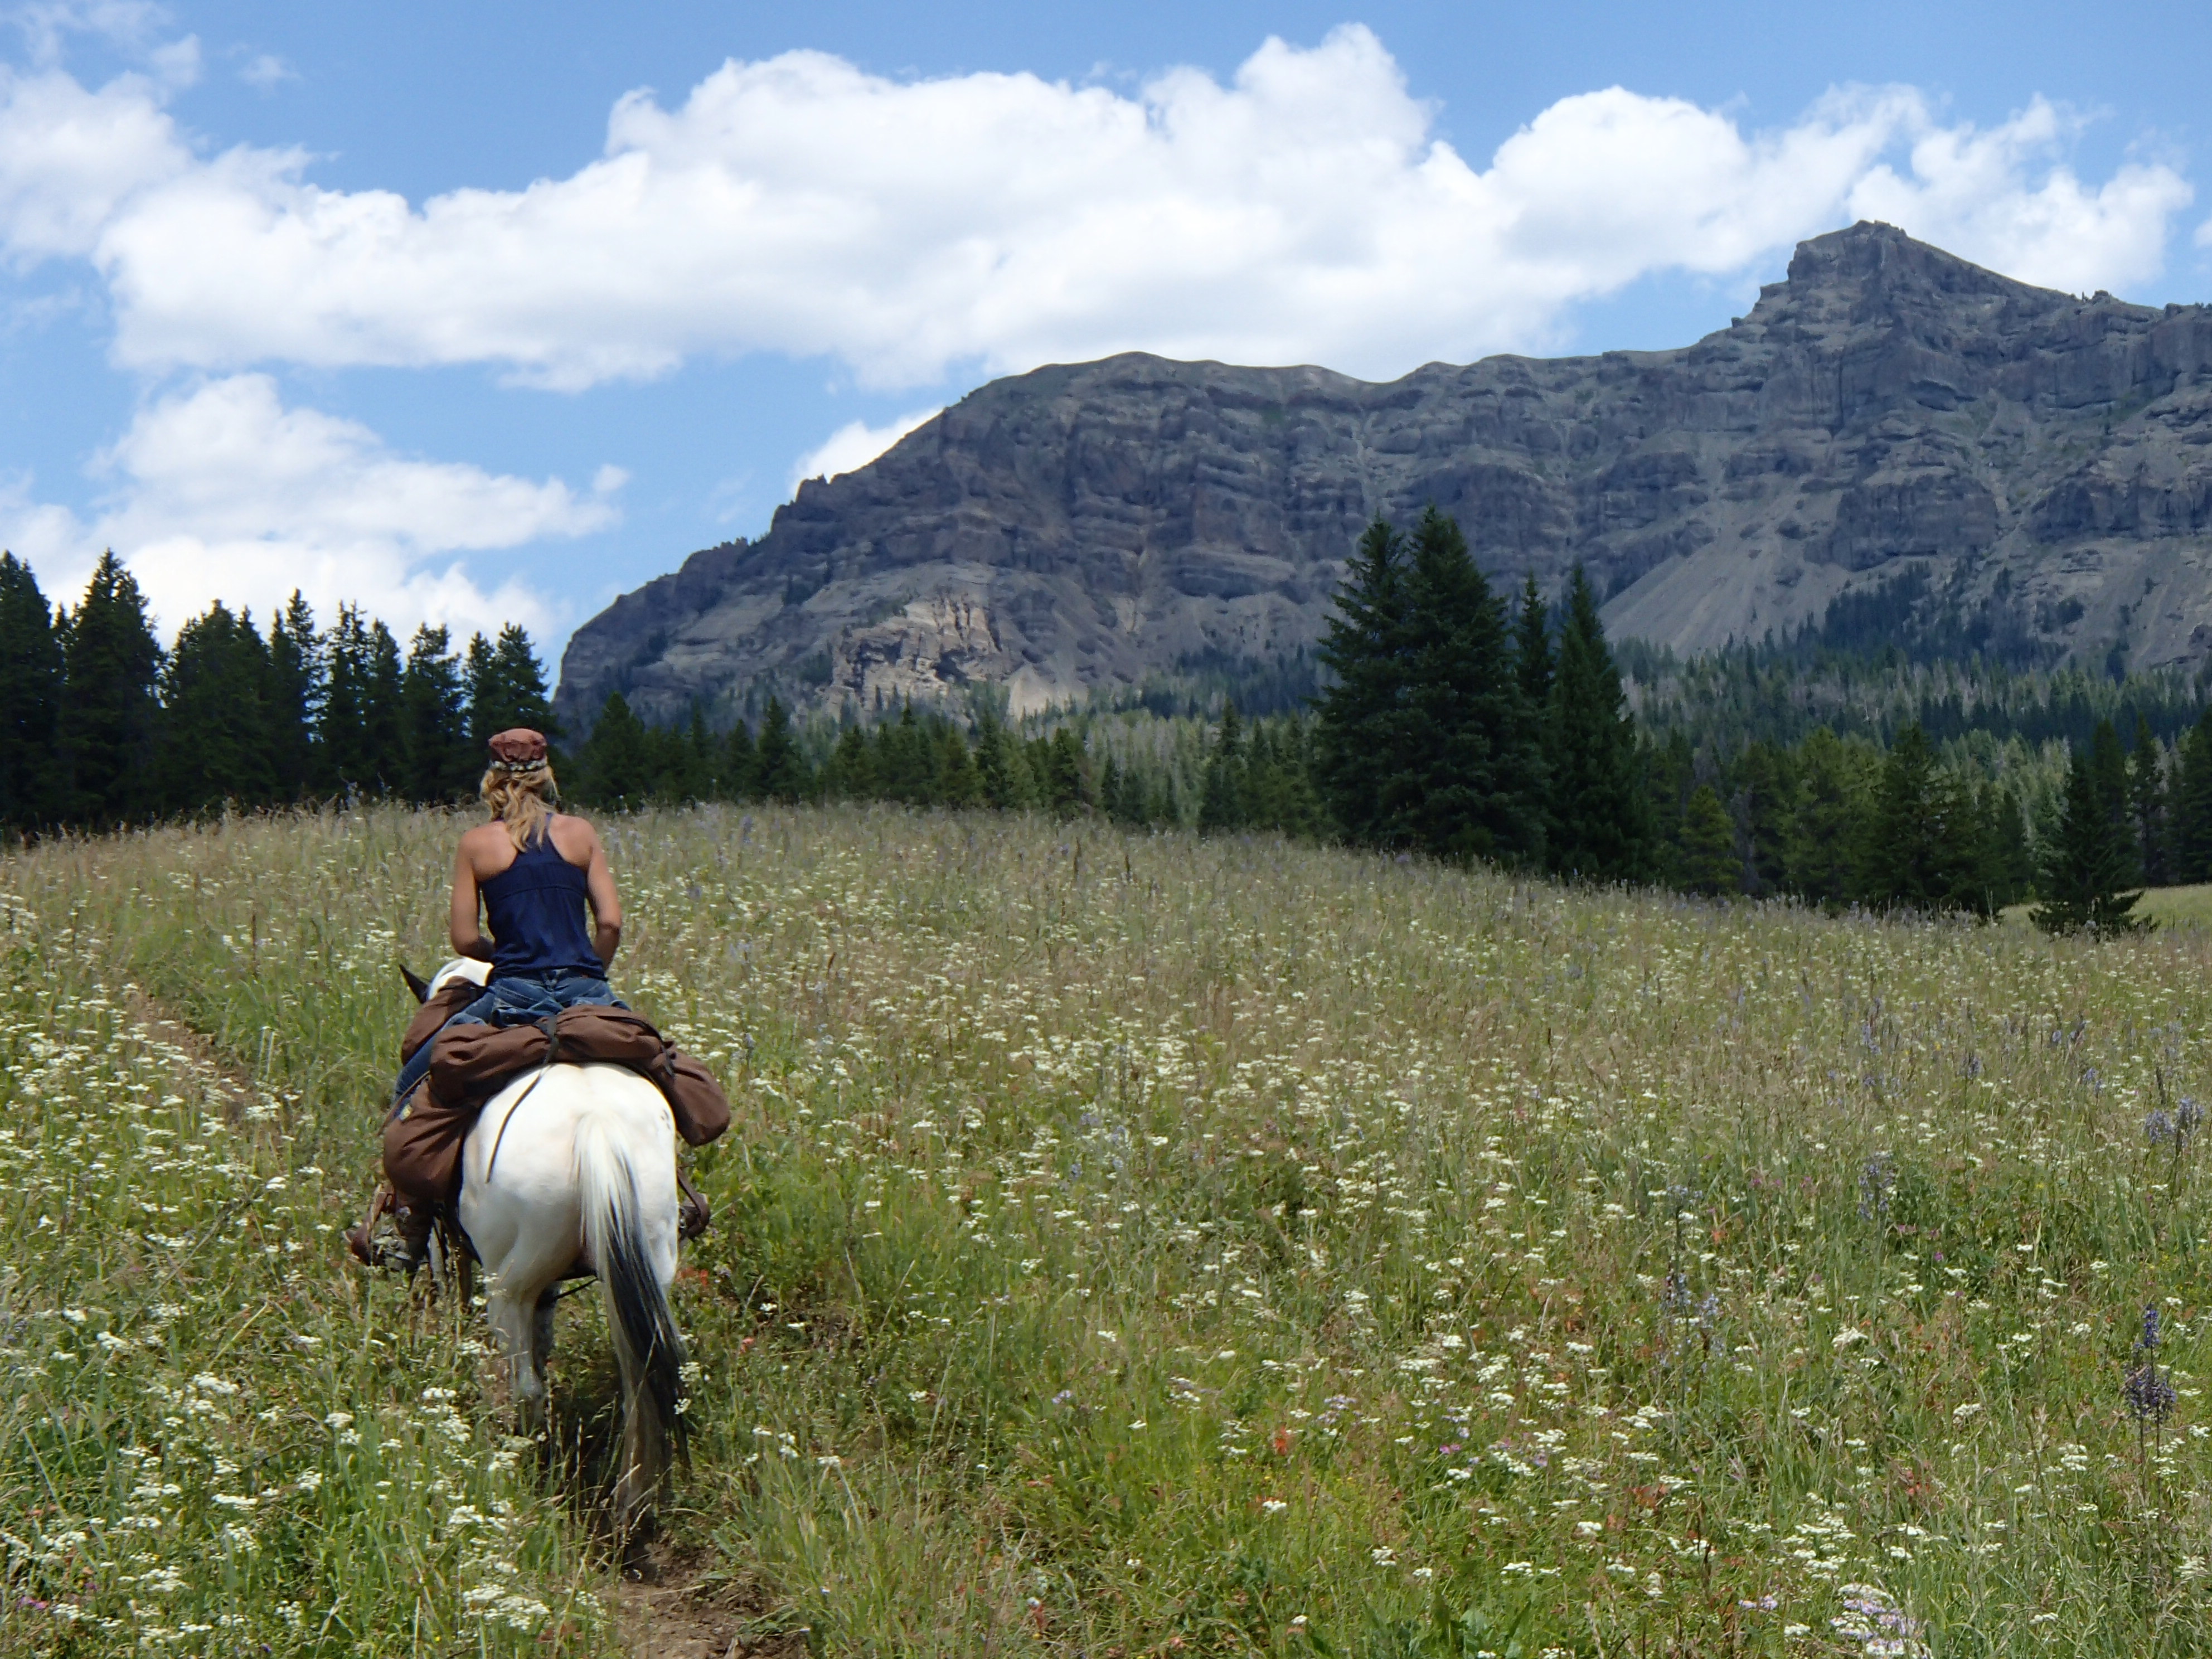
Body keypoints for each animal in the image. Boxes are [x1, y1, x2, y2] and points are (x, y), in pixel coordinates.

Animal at [409, 957, 688, 1530]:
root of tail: (598, 1125)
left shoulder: (452, 1247)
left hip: (507, 1285)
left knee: (527, 1388)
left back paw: (529, 1460)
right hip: (643, 1266)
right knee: (638, 1386)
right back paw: (632, 1501)